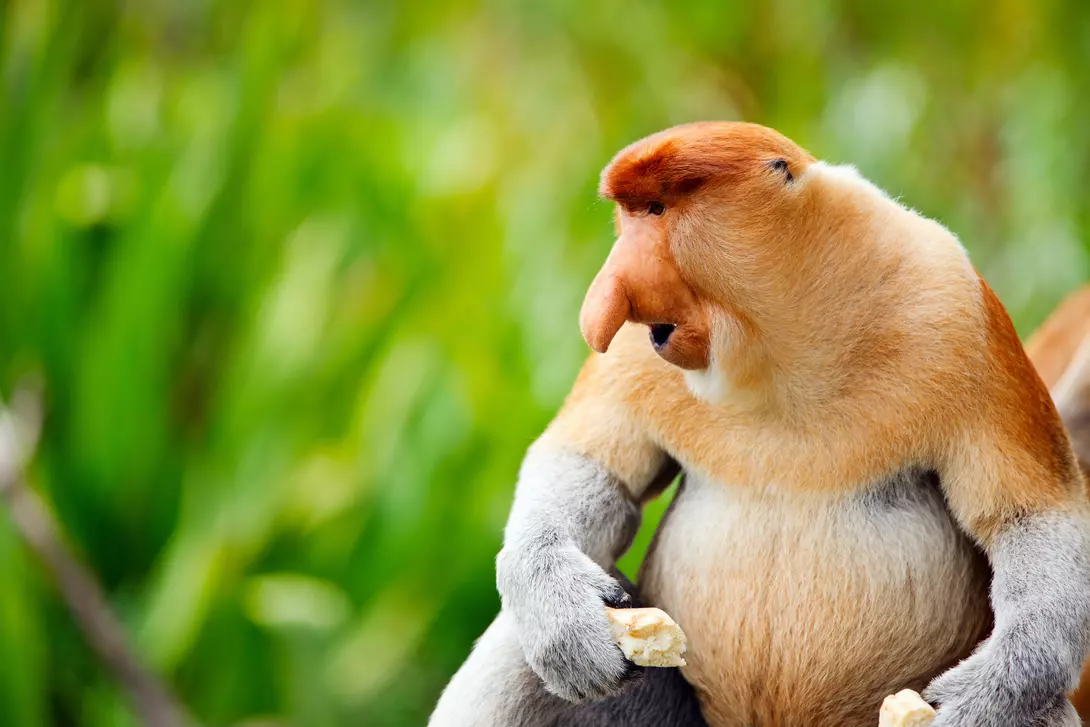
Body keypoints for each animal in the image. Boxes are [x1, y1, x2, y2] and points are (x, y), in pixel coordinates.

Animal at [429, 122, 1090, 727]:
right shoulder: (637, 356)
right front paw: (561, 617)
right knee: (516, 649)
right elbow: (592, 465)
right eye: (630, 215)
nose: (603, 303)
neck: (780, 347)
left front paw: (990, 696)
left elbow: (1032, 515)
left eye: (657, 209)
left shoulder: (957, 311)